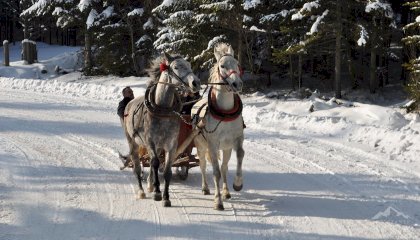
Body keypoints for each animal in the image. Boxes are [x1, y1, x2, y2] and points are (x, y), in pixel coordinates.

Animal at [123, 54, 200, 206]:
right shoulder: (150, 142)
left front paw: (166, 197)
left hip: (159, 146)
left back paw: (150, 184)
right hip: (133, 142)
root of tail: (129, 104)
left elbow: (166, 170)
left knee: (155, 162)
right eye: (176, 67)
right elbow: (154, 163)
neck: (162, 109)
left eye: (189, 65)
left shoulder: (171, 145)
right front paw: (158, 193)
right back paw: (141, 191)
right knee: (138, 165)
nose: (196, 83)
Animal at [192, 43, 244, 210]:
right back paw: (205, 188)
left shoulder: (236, 140)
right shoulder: (213, 145)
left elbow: (239, 155)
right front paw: (218, 201)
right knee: (202, 165)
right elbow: (215, 173)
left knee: (224, 167)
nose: (237, 84)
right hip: (201, 146)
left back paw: (226, 191)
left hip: (226, 148)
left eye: (237, 64)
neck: (225, 114)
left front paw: (237, 184)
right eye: (222, 66)